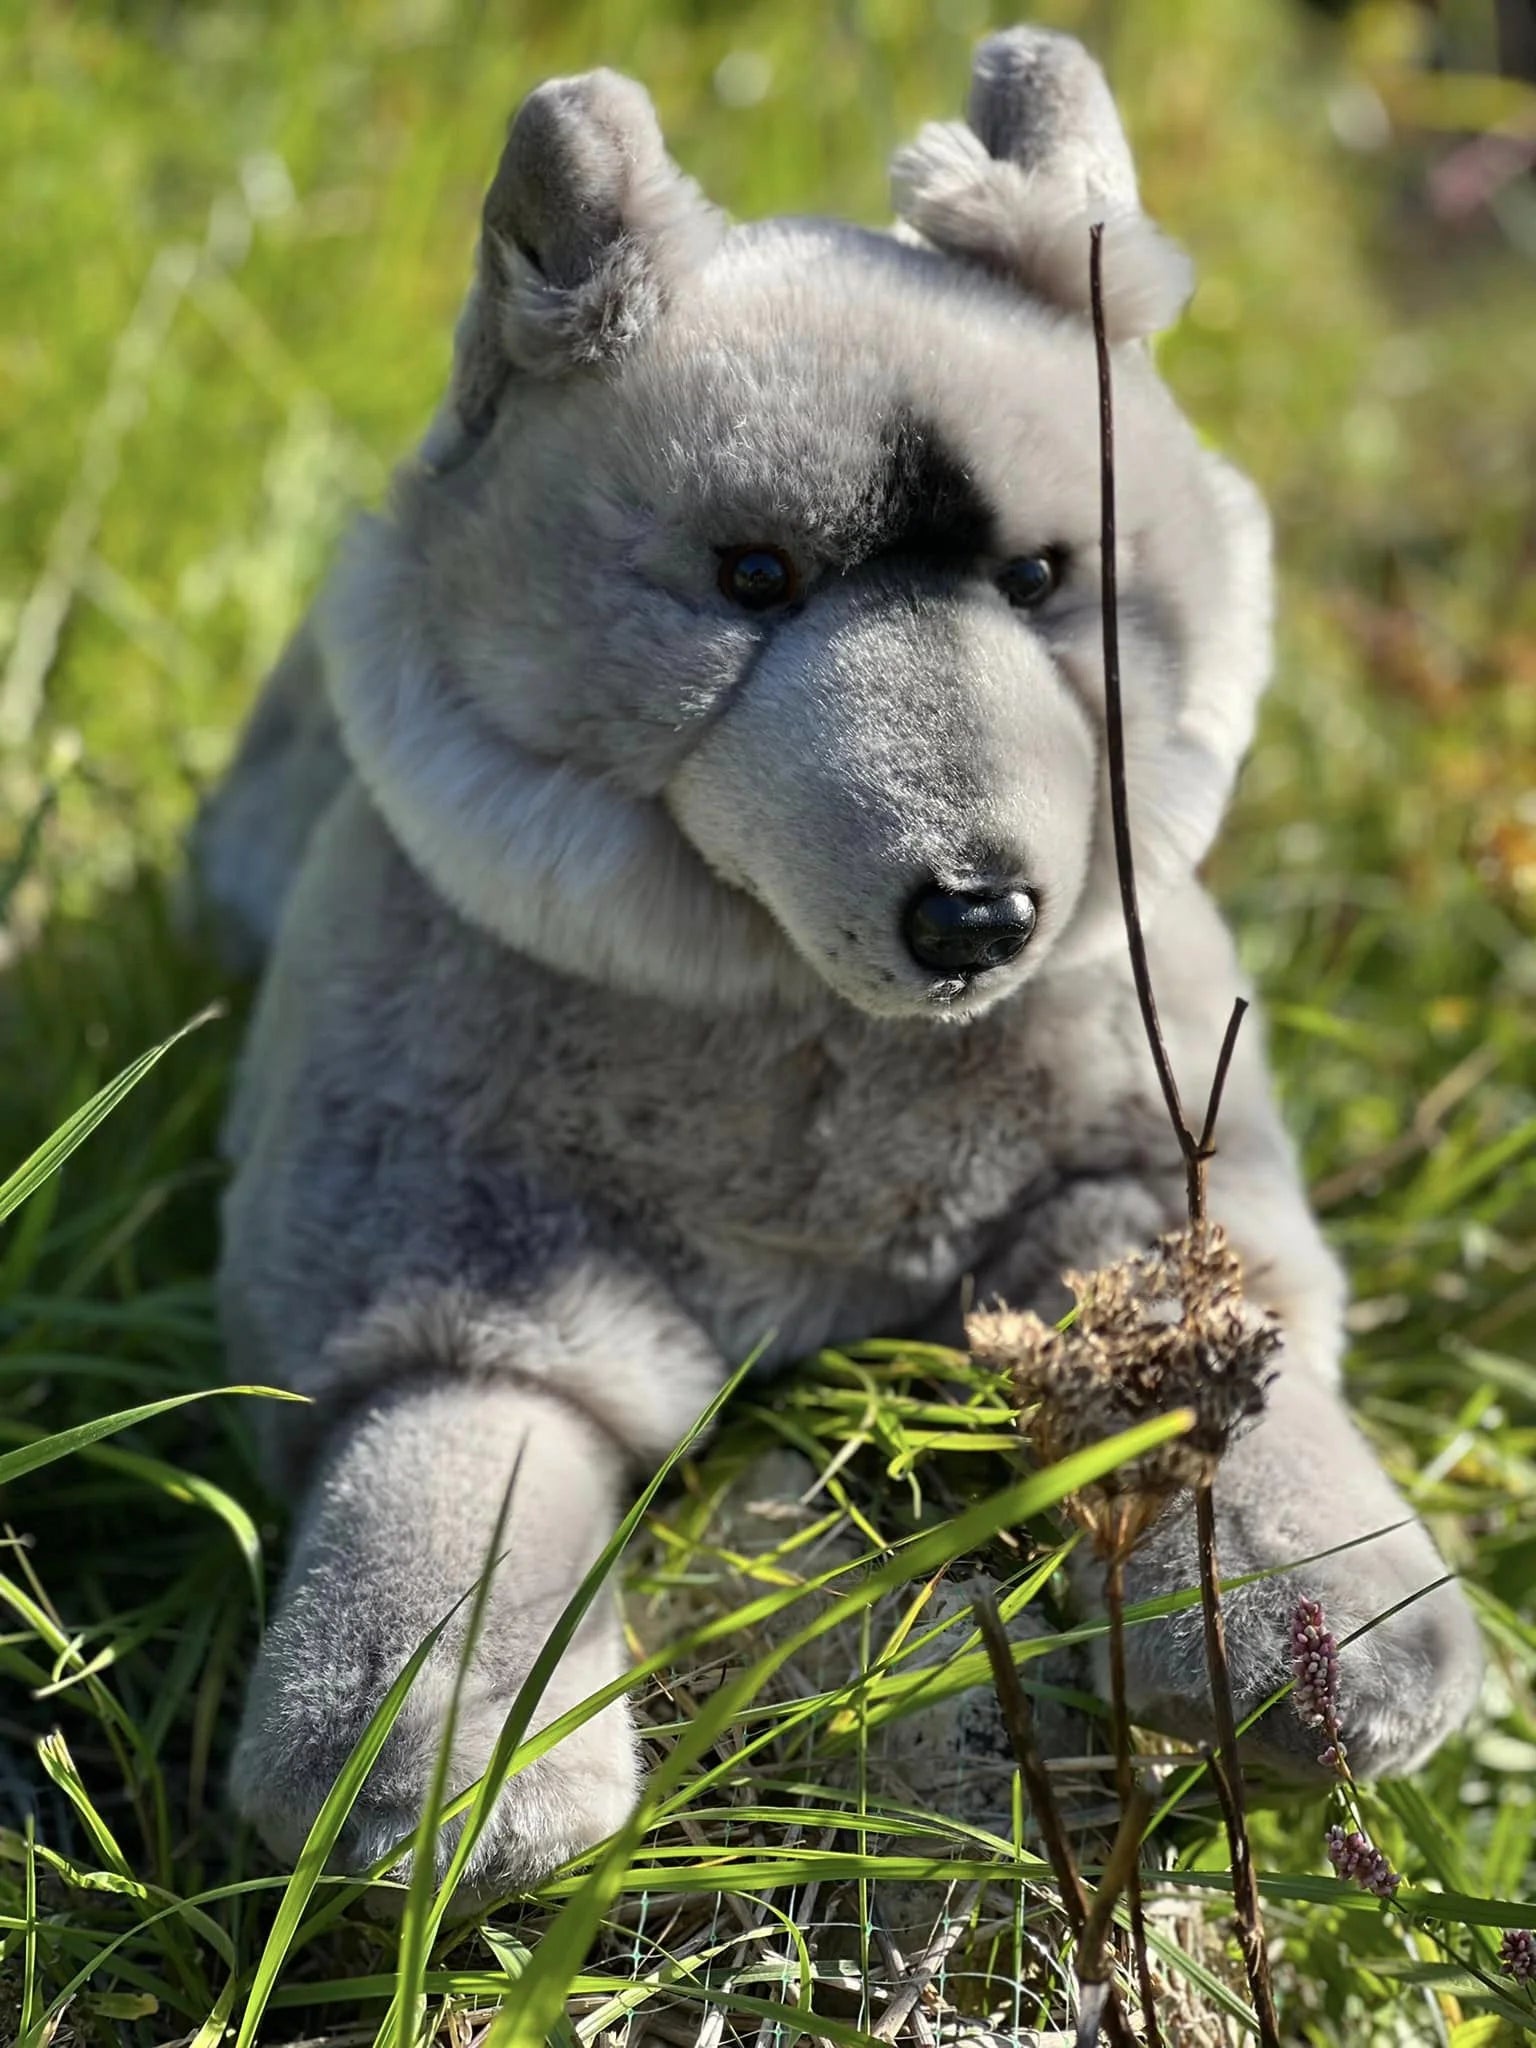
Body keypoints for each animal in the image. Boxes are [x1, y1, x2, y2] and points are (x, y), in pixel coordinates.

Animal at [197, 27, 1483, 1894]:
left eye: (1040, 576)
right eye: (751, 576)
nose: (979, 915)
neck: (810, 1033)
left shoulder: (1125, 1149)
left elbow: (1192, 1371)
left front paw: (1340, 1632)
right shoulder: (441, 1222)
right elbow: (453, 1452)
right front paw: (437, 1771)